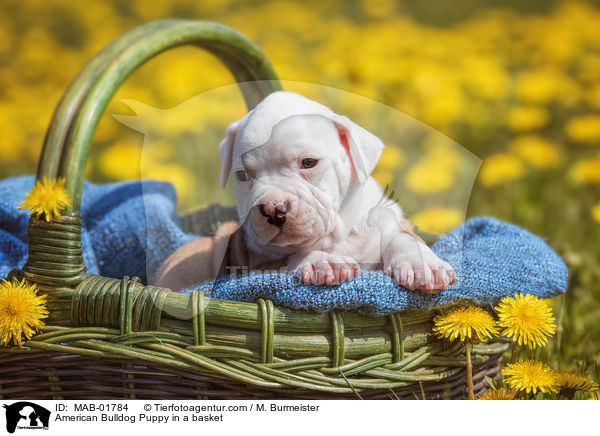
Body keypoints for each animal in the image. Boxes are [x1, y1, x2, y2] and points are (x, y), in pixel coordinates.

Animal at [214, 90, 454, 292]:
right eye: (242, 175)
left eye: (309, 162)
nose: (273, 208)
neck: (338, 236)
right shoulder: (257, 261)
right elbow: (294, 254)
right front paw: (323, 261)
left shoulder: (388, 223)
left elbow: (402, 237)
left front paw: (423, 263)